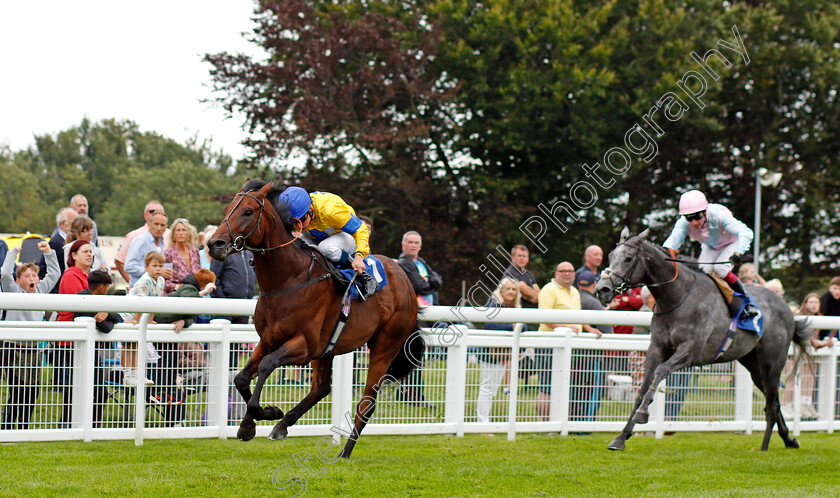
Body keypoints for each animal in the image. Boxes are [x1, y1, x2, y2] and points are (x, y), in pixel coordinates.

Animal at [207, 180, 424, 460]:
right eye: (227, 209)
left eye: (247, 212)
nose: (215, 244)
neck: (288, 279)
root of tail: (406, 279)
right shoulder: (269, 340)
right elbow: (241, 378)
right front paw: (268, 415)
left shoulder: (305, 345)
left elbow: (266, 365)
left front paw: (249, 423)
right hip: (328, 349)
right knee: (321, 388)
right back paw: (282, 425)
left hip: (385, 346)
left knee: (366, 403)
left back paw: (345, 452)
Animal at [592, 229, 812, 452]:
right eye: (610, 256)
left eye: (628, 258)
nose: (602, 289)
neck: (678, 297)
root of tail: (787, 309)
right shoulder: (656, 348)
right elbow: (643, 388)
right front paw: (621, 437)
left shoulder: (690, 351)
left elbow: (661, 370)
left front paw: (642, 414)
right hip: (753, 364)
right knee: (773, 401)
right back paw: (789, 440)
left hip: (772, 363)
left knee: (772, 405)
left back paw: (764, 447)